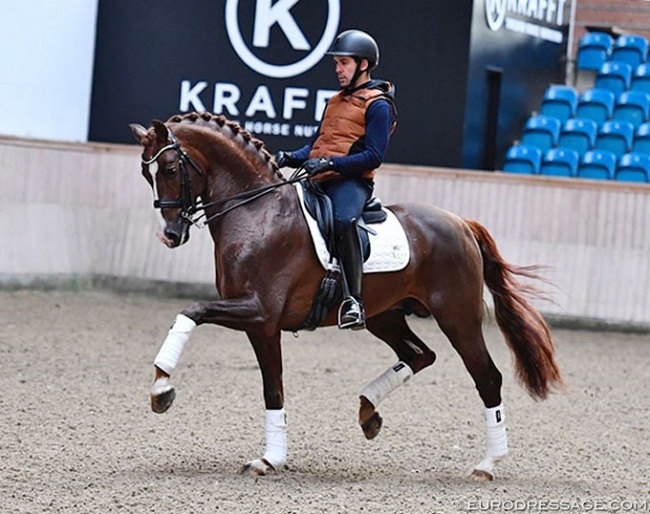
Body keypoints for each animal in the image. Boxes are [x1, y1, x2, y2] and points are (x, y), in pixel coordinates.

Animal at [129, 110, 560, 478]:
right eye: (145, 173)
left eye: (171, 169)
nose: (170, 235)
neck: (258, 212)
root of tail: (461, 223)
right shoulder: (262, 326)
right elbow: (272, 388)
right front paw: (270, 458)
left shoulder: (259, 312)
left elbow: (193, 311)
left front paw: (162, 387)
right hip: (385, 316)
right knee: (420, 354)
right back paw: (369, 411)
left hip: (457, 317)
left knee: (487, 378)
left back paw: (487, 464)